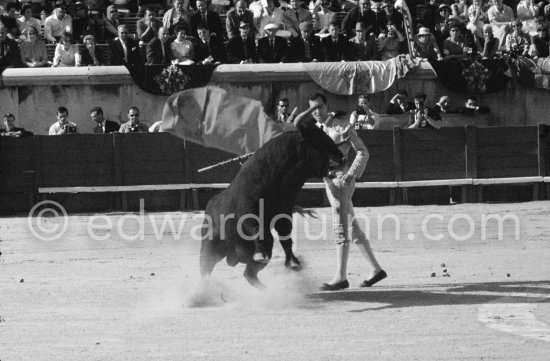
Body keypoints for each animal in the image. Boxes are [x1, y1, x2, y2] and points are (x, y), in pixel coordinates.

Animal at [198, 119, 344, 288]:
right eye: (318, 140)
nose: (342, 157)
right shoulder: (249, 213)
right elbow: (257, 229)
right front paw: (262, 255)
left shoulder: (284, 214)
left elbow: (286, 238)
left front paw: (293, 263)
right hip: (209, 248)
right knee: (205, 270)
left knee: (249, 274)